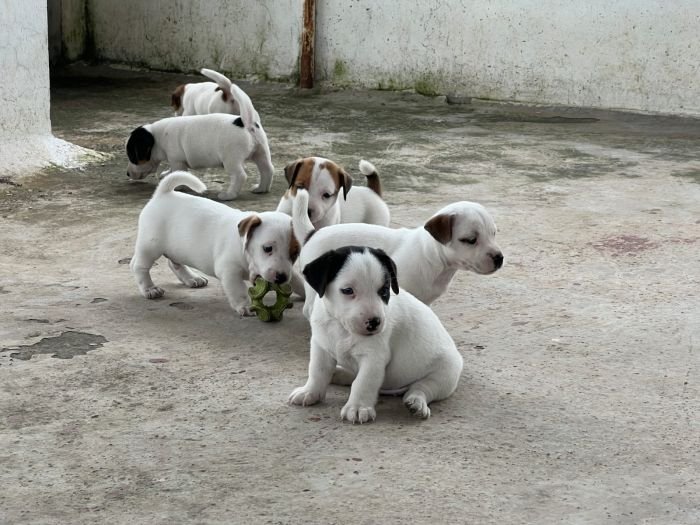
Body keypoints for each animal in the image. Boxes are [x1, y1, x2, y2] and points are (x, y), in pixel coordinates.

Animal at [126, 82, 274, 201]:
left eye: (132, 157)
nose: (127, 174)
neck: (156, 137)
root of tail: (246, 123)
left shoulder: (177, 161)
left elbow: (178, 171)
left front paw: (178, 185)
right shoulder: (175, 160)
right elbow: (173, 170)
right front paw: (167, 174)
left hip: (231, 159)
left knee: (240, 176)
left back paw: (228, 195)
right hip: (261, 152)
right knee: (267, 170)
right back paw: (261, 188)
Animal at [130, 171, 300, 316]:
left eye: (295, 253)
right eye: (267, 248)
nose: (281, 277)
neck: (243, 244)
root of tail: (163, 194)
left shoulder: (288, 269)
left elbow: (297, 280)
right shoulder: (229, 271)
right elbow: (239, 290)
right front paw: (245, 306)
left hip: (176, 248)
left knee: (174, 263)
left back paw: (192, 278)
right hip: (151, 246)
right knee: (138, 266)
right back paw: (149, 288)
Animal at [288, 246, 462, 422]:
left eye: (384, 290)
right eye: (347, 290)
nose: (375, 322)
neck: (342, 328)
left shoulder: (373, 358)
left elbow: (363, 382)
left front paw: (357, 407)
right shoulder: (321, 347)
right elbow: (317, 371)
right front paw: (309, 392)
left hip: (443, 377)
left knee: (422, 388)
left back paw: (417, 402)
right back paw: (338, 373)